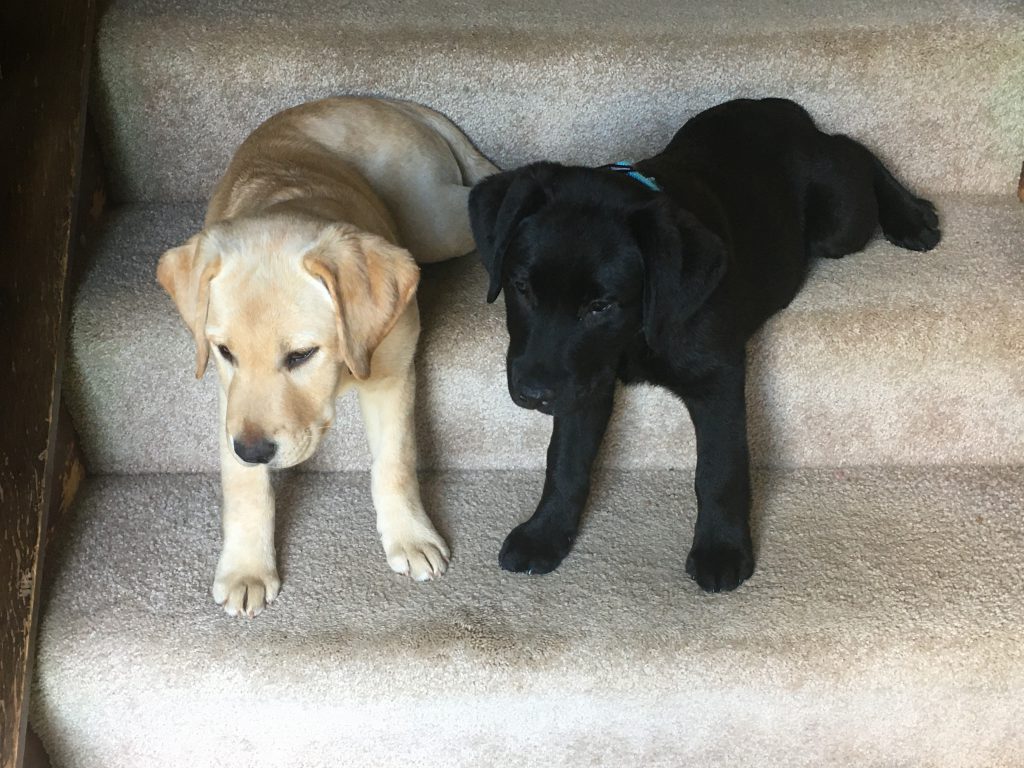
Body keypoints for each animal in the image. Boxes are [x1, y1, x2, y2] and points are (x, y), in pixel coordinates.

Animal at [154, 99, 495, 622]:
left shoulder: (393, 373)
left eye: (301, 355)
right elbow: (244, 487)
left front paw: (409, 535)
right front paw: (247, 568)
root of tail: (385, 101)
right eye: (225, 352)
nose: (253, 451)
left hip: (436, 222)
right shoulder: (230, 399)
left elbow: (396, 460)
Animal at [468, 99, 937, 593]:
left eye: (600, 306)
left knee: (853, 151)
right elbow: (565, 461)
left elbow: (719, 468)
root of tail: (780, 109)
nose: (532, 394)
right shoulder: (584, 378)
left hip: (840, 224)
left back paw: (911, 216)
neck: (635, 333)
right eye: (521, 287)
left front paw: (721, 549)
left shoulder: (716, 377)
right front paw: (545, 533)